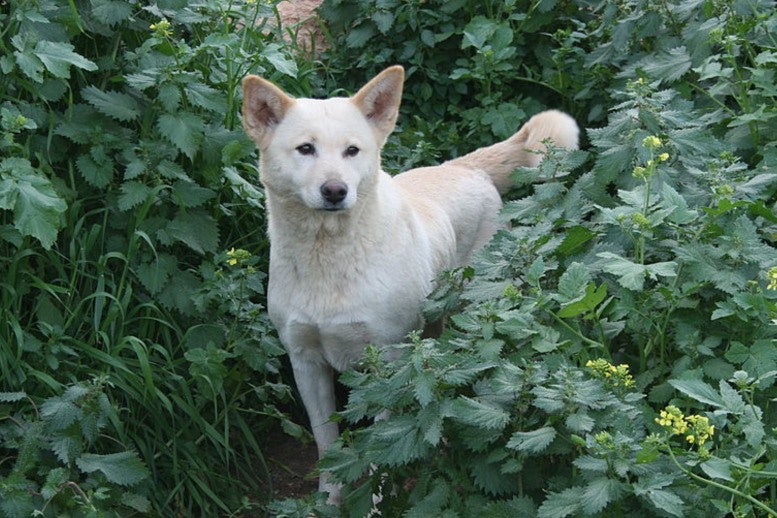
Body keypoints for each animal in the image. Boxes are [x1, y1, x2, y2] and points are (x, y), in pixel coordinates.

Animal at [241, 66, 576, 504]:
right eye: (305, 149)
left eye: (352, 151)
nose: (335, 191)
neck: (329, 259)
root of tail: (464, 166)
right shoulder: (305, 362)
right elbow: (326, 442)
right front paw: (328, 501)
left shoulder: (390, 363)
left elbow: (380, 449)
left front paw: (376, 502)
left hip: (473, 314)